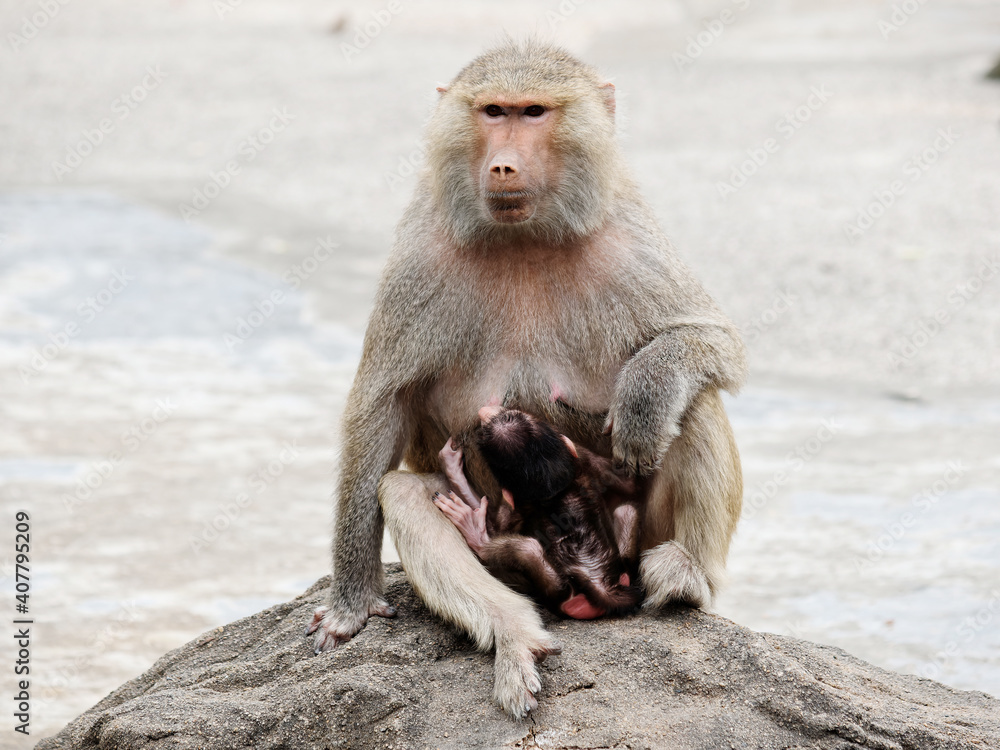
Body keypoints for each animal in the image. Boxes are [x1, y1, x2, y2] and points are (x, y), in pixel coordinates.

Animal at [433, 406, 644, 620]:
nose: (485, 410)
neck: (557, 490)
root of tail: (601, 585)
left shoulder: (516, 505)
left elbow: (498, 528)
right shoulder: (583, 461)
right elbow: (630, 484)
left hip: (558, 592)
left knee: (528, 548)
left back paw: (476, 534)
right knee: (626, 511)